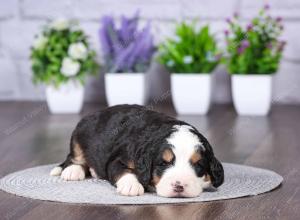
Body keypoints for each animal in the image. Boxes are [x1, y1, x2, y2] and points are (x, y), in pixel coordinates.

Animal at [50, 105, 224, 198]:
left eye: (198, 165)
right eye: (163, 163)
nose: (179, 186)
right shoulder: (117, 159)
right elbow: (124, 171)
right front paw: (131, 186)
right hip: (78, 136)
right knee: (73, 158)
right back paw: (73, 171)